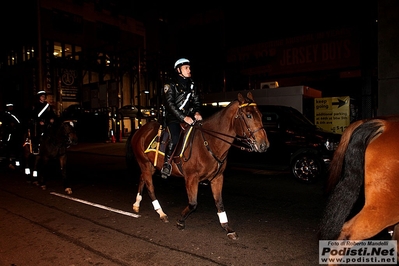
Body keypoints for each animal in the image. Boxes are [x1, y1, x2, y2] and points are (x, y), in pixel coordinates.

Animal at [126, 92, 270, 239]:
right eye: (248, 115)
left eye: (261, 115)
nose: (264, 145)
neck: (209, 142)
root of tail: (139, 130)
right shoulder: (191, 178)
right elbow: (193, 203)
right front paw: (180, 221)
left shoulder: (217, 178)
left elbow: (219, 203)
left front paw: (227, 227)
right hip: (144, 163)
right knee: (150, 186)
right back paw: (161, 212)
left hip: (151, 166)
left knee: (142, 178)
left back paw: (137, 204)